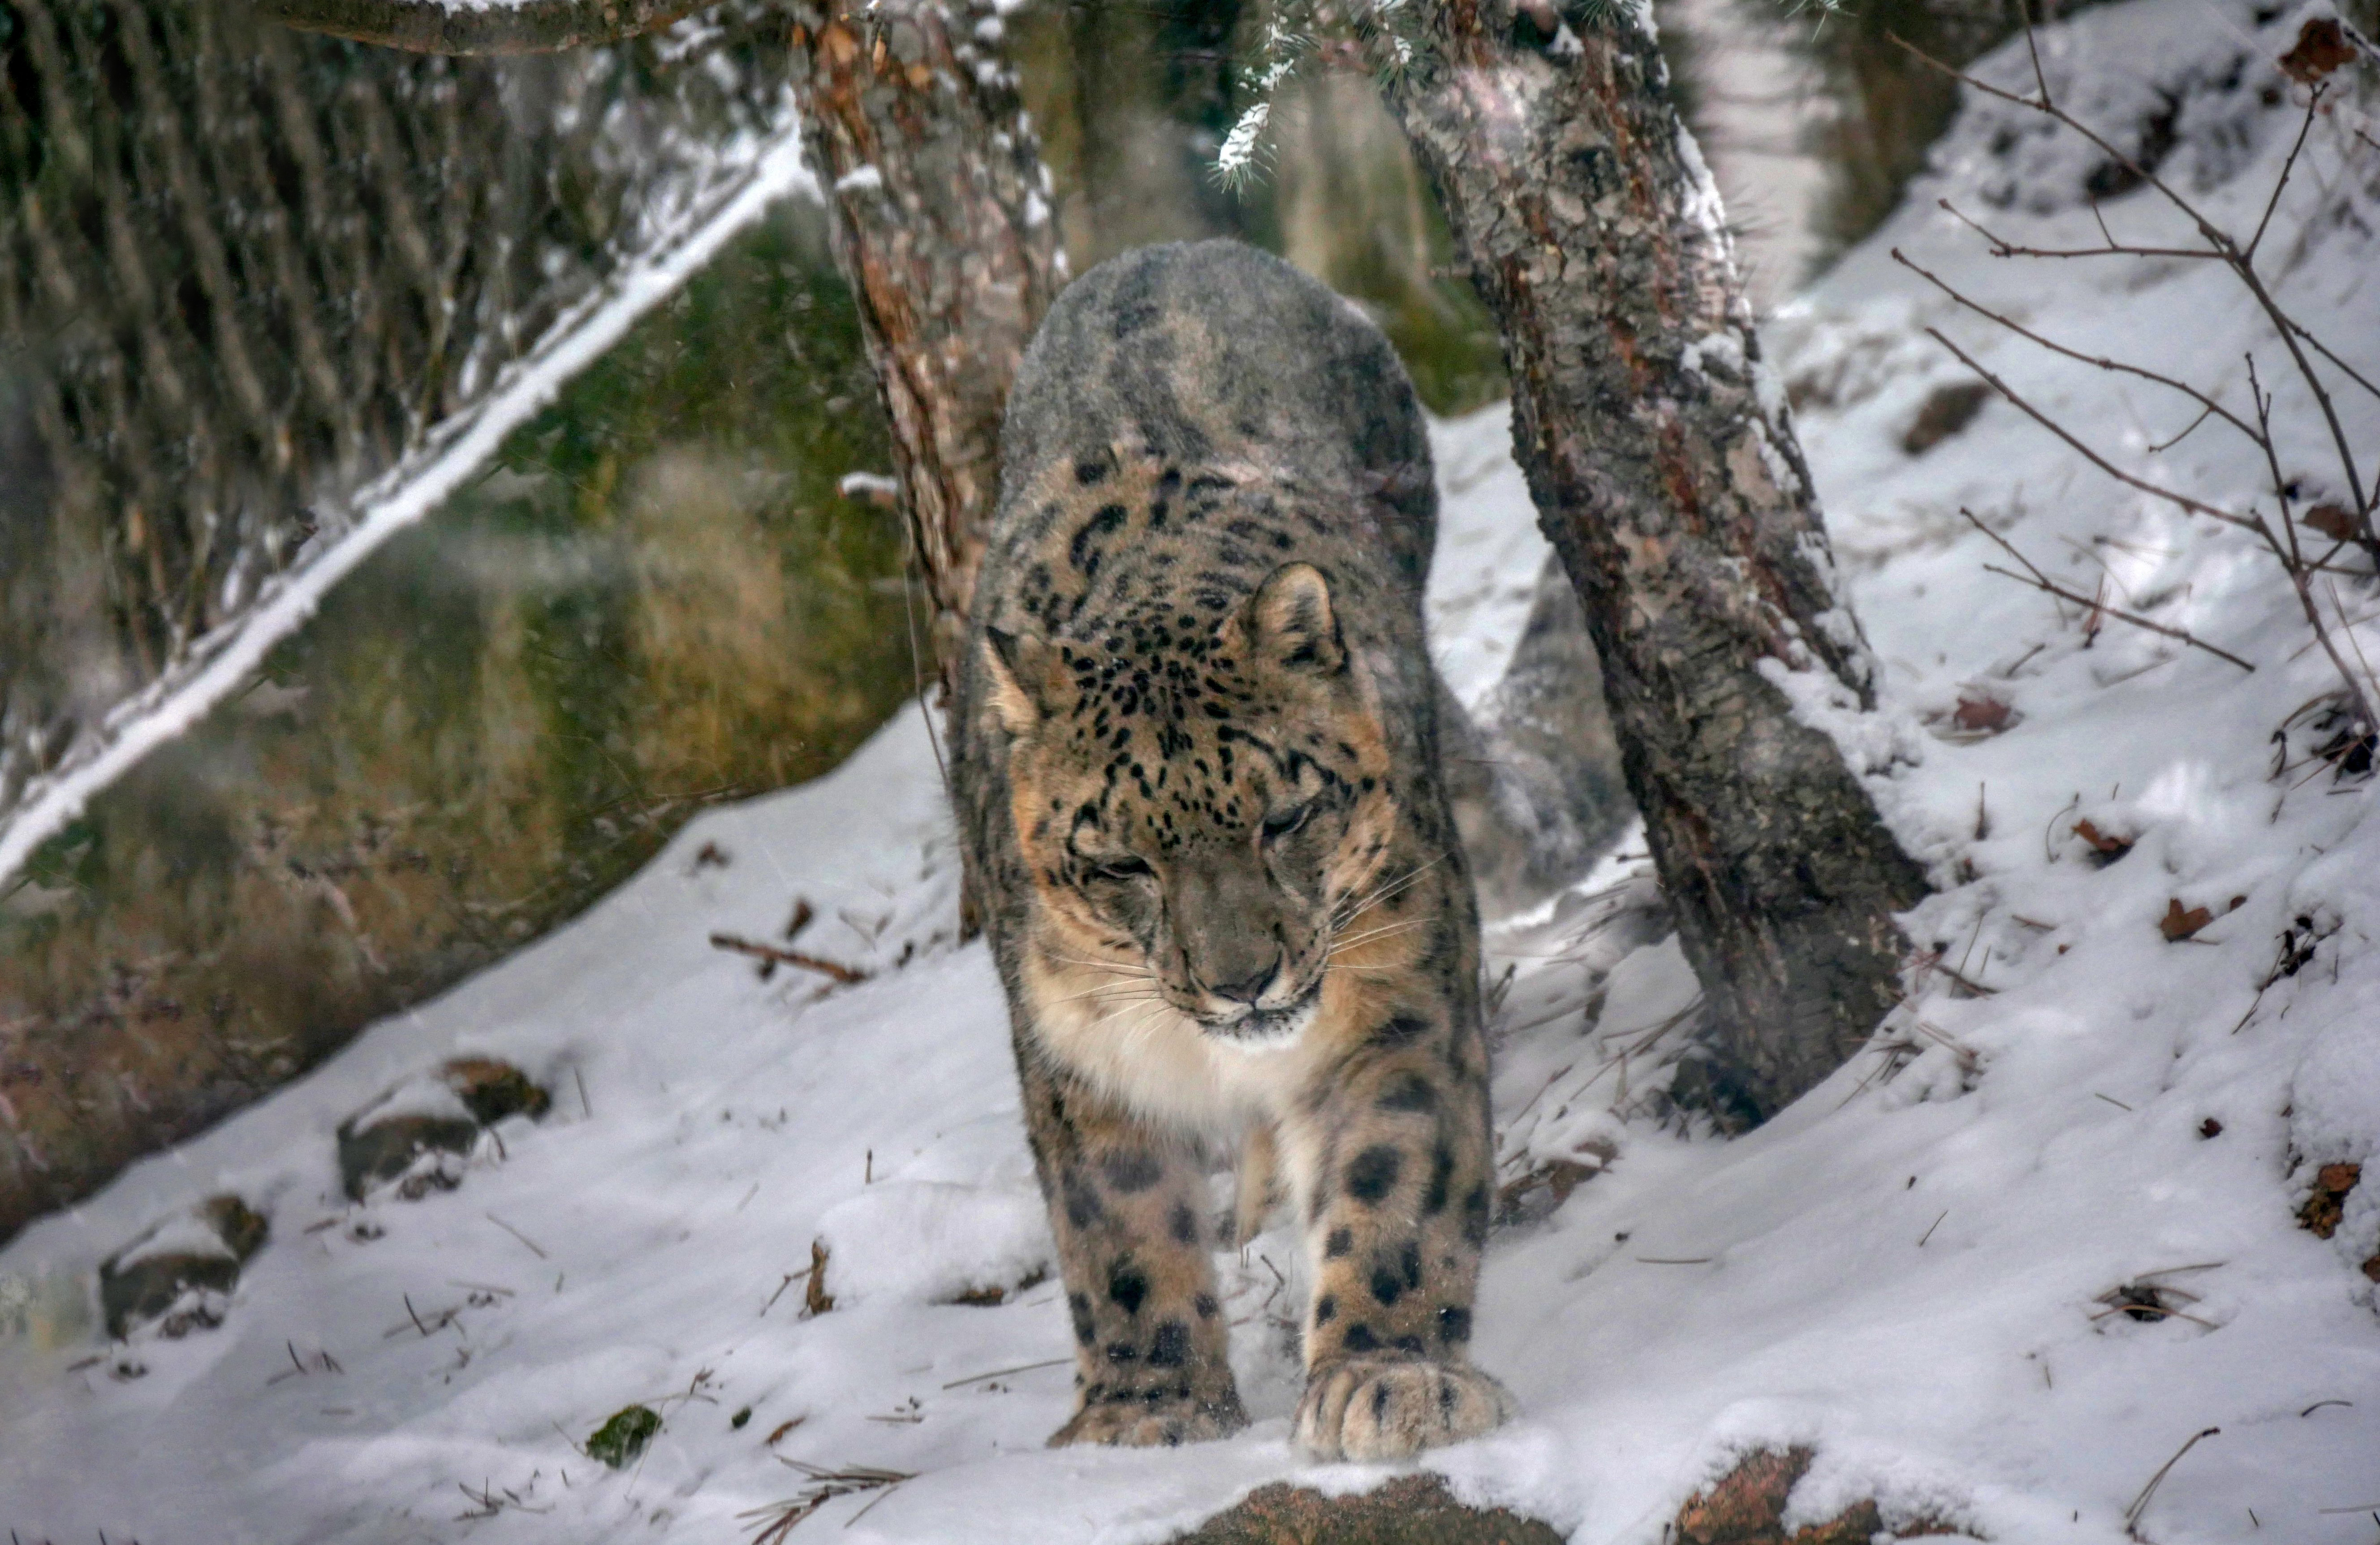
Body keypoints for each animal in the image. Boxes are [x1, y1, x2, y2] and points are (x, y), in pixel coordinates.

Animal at [952, 240, 1515, 1462]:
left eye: (1283, 815)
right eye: (1122, 863)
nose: (1240, 978)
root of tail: (1166, 247)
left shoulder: (1398, 984)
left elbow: (1392, 1171)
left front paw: (1386, 1378)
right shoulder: (1072, 1047)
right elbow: (1114, 1224)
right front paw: (1148, 1408)